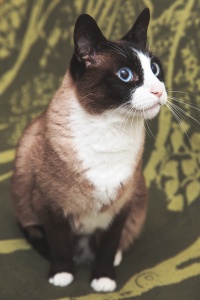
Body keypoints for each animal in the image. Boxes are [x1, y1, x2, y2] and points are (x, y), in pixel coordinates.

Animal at [11, 8, 167, 292]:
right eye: (125, 75)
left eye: (155, 69)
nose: (158, 91)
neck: (110, 129)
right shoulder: (49, 205)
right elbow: (60, 244)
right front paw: (62, 274)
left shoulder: (121, 207)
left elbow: (107, 245)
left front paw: (103, 279)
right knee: (38, 234)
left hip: (139, 198)